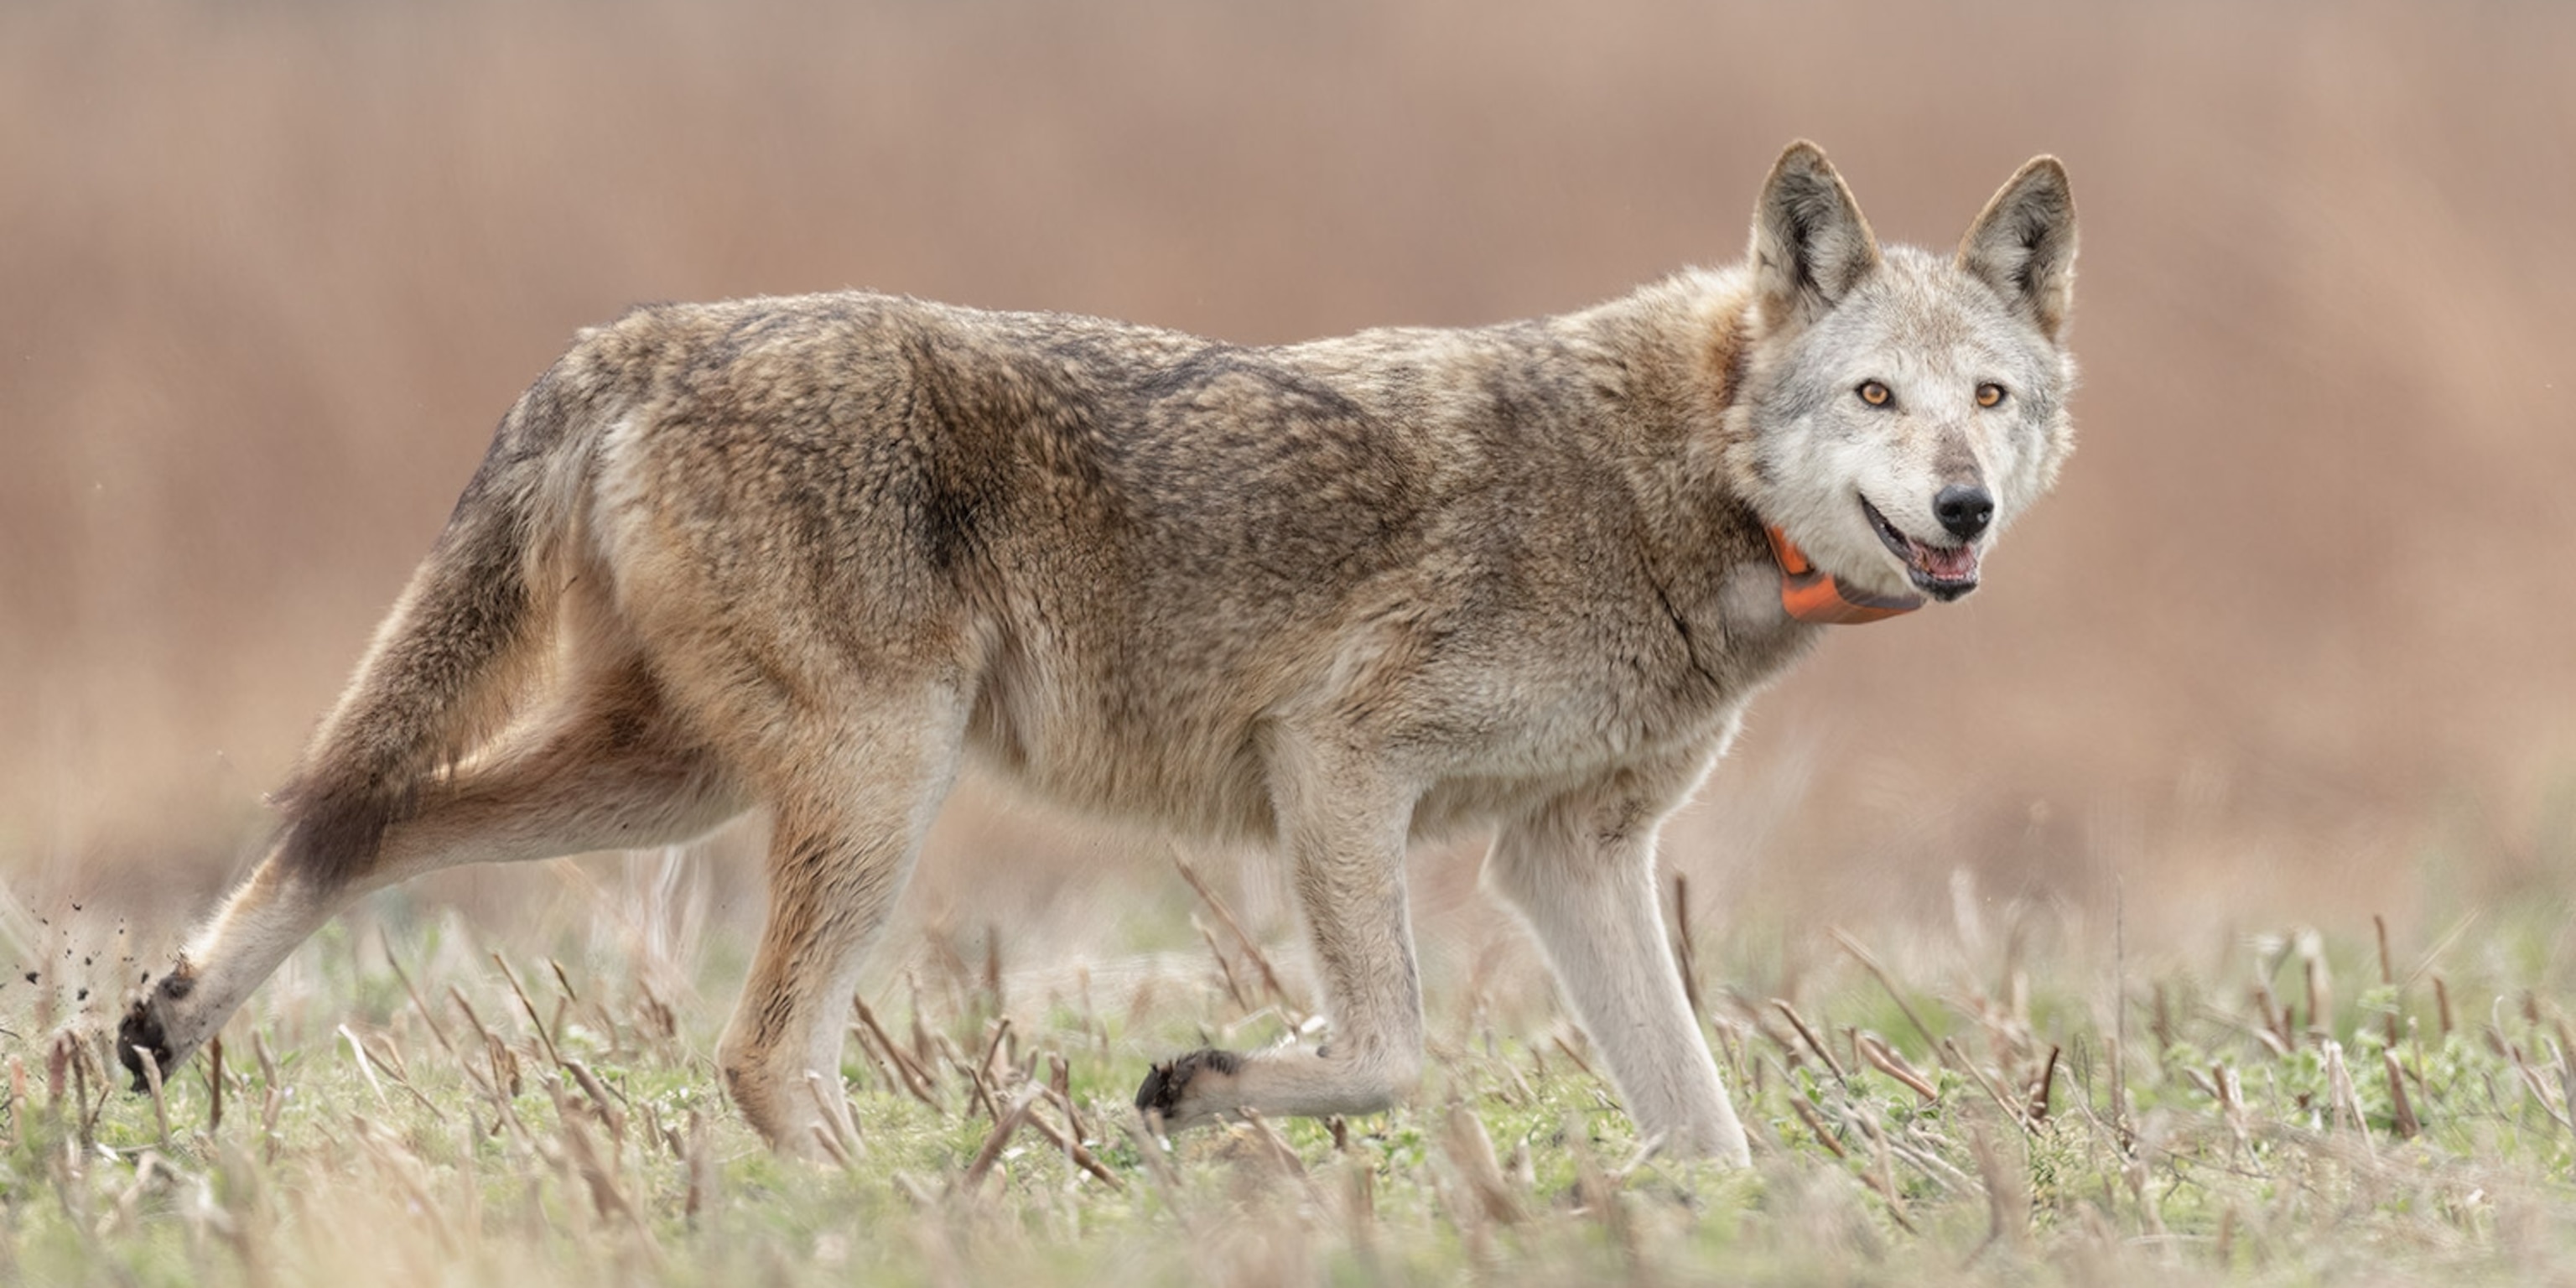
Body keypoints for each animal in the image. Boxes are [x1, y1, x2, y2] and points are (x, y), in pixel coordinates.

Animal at [120, 142, 2075, 1164]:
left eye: (1989, 398)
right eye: (1875, 398)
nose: (1965, 508)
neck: (1684, 482)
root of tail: (645, 336)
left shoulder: (1568, 856)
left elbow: (1701, 1125)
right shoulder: (1337, 760)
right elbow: (1391, 1045)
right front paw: (1200, 1088)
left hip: (679, 787)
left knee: (365, 821)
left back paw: (162, 1022)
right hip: (867, 786)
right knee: (754, 1050)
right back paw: (911, 1221)